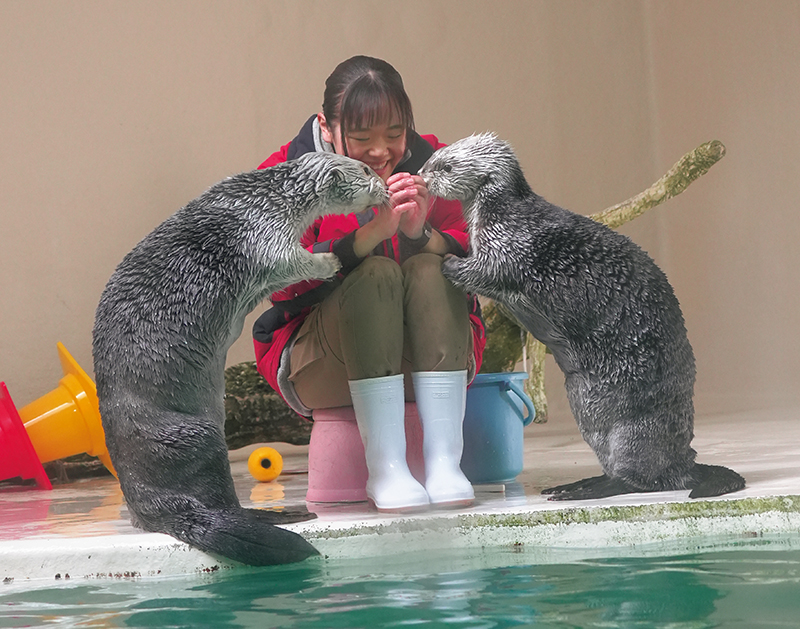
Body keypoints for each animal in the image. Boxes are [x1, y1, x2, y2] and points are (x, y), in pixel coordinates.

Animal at [94, 153, 388, 564]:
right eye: (365, 169)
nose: (386, 186)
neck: (268, 198)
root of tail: (149, 504)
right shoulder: (265, 235)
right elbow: (294, 262)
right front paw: (329, 260)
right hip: (196, 438)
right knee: (220, 502)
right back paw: (281, 516)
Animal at [418, 134, 744, 500]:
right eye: (432, 160)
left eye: (445, 166)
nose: (421, 173)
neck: (498, 212)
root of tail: (684, 463)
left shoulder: (509, 242)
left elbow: (486, 269)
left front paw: (447, 261)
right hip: (591, 418)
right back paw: (578, 483)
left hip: (635, 430)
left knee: (639, 480)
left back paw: (586, 489)